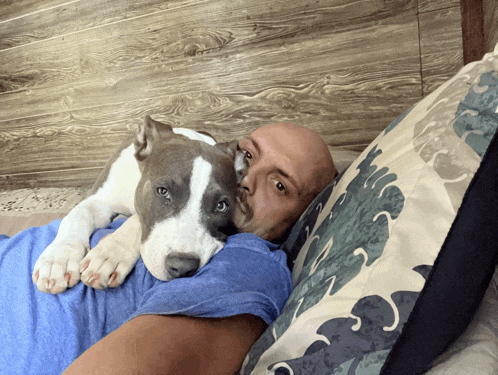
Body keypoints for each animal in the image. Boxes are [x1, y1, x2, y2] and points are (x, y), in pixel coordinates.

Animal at [32, 116, 246, 296]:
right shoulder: (99, 201)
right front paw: (58, 259)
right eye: (162, 191)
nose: (182, 267)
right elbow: (76, 216)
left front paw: (109, 254)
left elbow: (137, 219)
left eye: (221, 206)